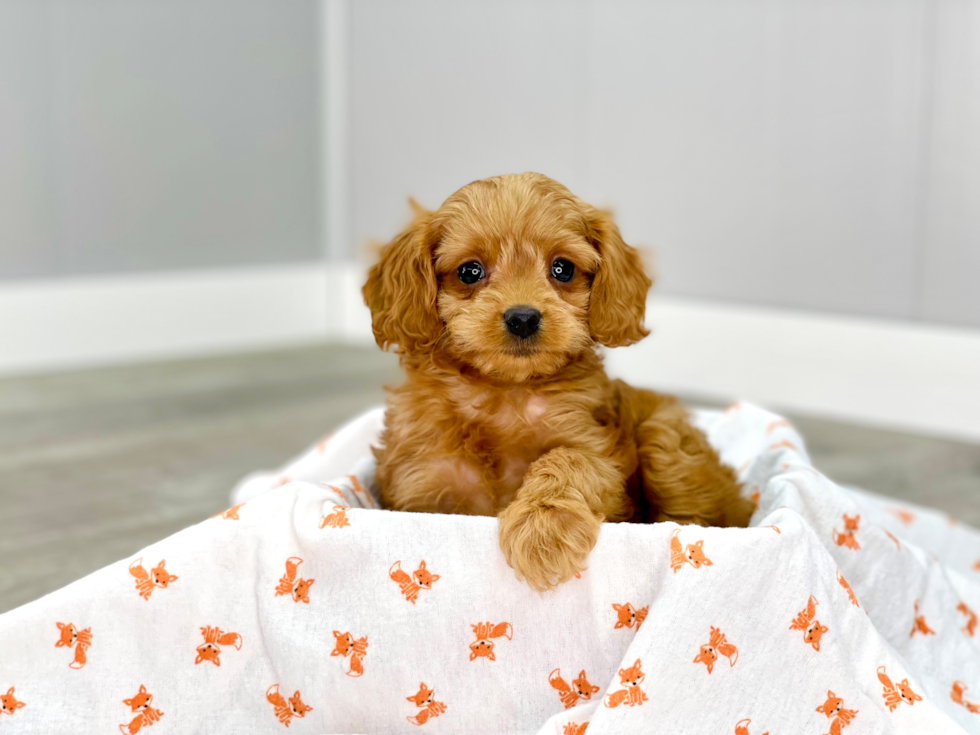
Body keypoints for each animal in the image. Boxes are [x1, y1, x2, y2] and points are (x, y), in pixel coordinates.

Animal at [364, 172, 756, 592]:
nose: (522, 317)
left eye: (563, 269)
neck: (504, 392)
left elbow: (566, 459)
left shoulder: (598, 450)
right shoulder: (420, 481)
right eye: (470, 271)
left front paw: (542, 531)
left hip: (664, 442)